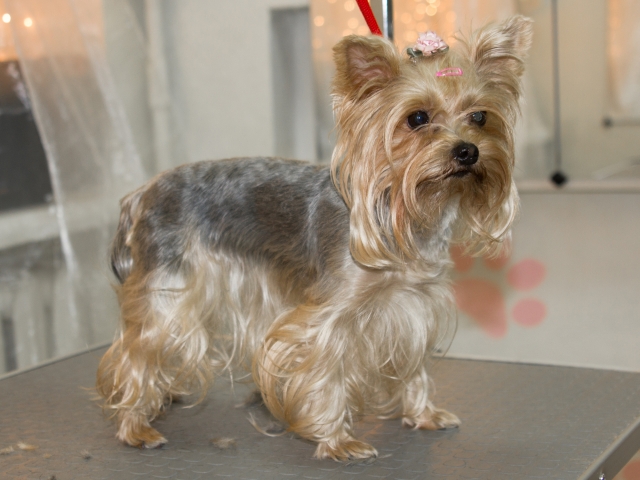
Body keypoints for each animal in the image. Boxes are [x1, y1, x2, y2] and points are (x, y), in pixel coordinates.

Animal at [96, 15, 532, 461]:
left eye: (480, 117)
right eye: (417, 118)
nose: (467, 151)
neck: (404, 214)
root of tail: (142, 193)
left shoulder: (414, 305)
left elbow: (415, 363)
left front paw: (423, 414)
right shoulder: (330, 317)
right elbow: (326, 371)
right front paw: (337, 440)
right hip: (169, 293)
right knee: (136, 351)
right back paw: (135, 424)